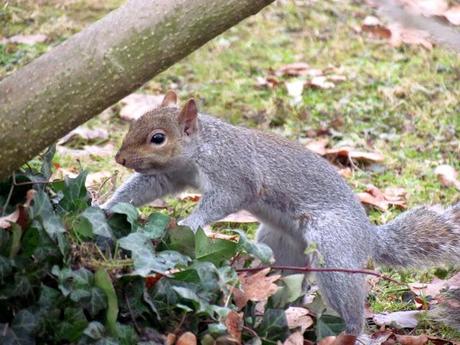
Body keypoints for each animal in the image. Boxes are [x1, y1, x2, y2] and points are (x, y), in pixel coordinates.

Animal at [102, 90, 460, 338]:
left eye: (158, 138)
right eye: (135, 122)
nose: (120, 159)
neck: (201, 147)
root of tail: (368, 235)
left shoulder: (236, 176)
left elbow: (222, 200)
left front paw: (190, 222)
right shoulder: (170, 175)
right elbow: (144, 187)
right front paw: (106, 207)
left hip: (333, 246)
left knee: (347, 300)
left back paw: (353, 333)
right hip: (281, 246)